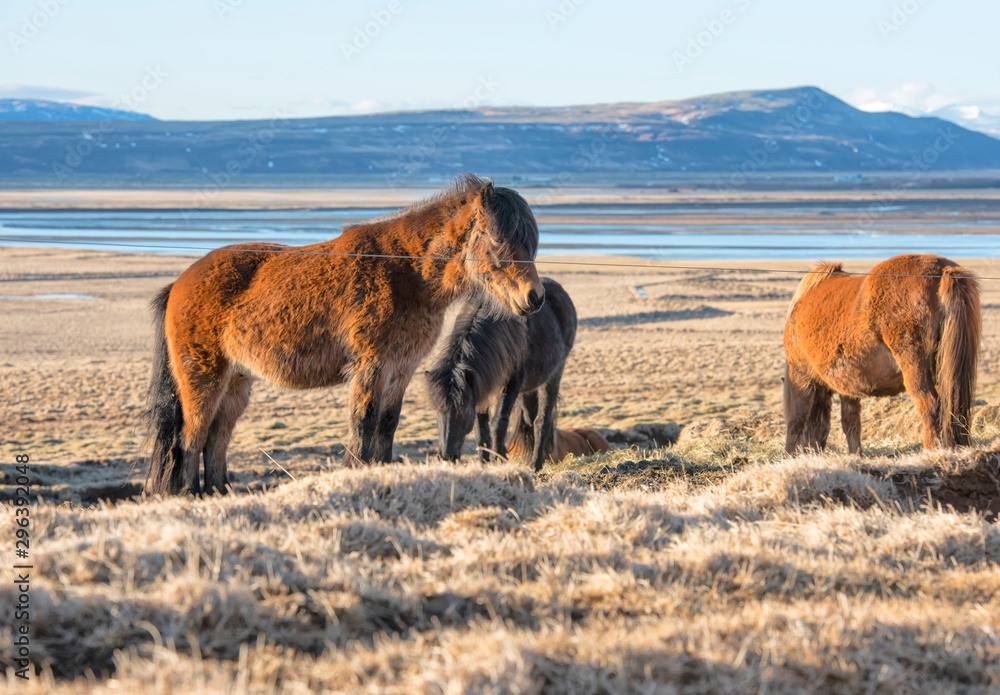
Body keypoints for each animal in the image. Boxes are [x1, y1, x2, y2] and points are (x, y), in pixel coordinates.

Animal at [145, 177, 544, 498]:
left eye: (532, 242)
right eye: (497, 238)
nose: (534, 298)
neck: (408, 272)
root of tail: (179, 284)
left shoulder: (401, 370)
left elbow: (386, 426)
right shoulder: (372, 365)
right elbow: (363, 423)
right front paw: (359, 476)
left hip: (236, 382)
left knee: (216, 441)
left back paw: (216, 494)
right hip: (203, 378)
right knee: (190, 439)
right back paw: (186, 495)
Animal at [424, 278, 580, 474]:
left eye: (462, 410)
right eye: (437, 410)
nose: (447, 456)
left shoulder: (510, 385)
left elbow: (498, 424)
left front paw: (498, 460)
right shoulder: (480, 388)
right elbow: (481, 431)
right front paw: (485, 463)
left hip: (553, 377)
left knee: (541, 422)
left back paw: (535, 465)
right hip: (530, 387)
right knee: (530, 418)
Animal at [784, 253, 980, 454]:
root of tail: (942, 270)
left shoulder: (801, 375)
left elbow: (796, 421)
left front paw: (789, 454)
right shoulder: (847, 385)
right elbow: (850, 423)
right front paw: (856, 455)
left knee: (930, 405)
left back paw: (928, 451)